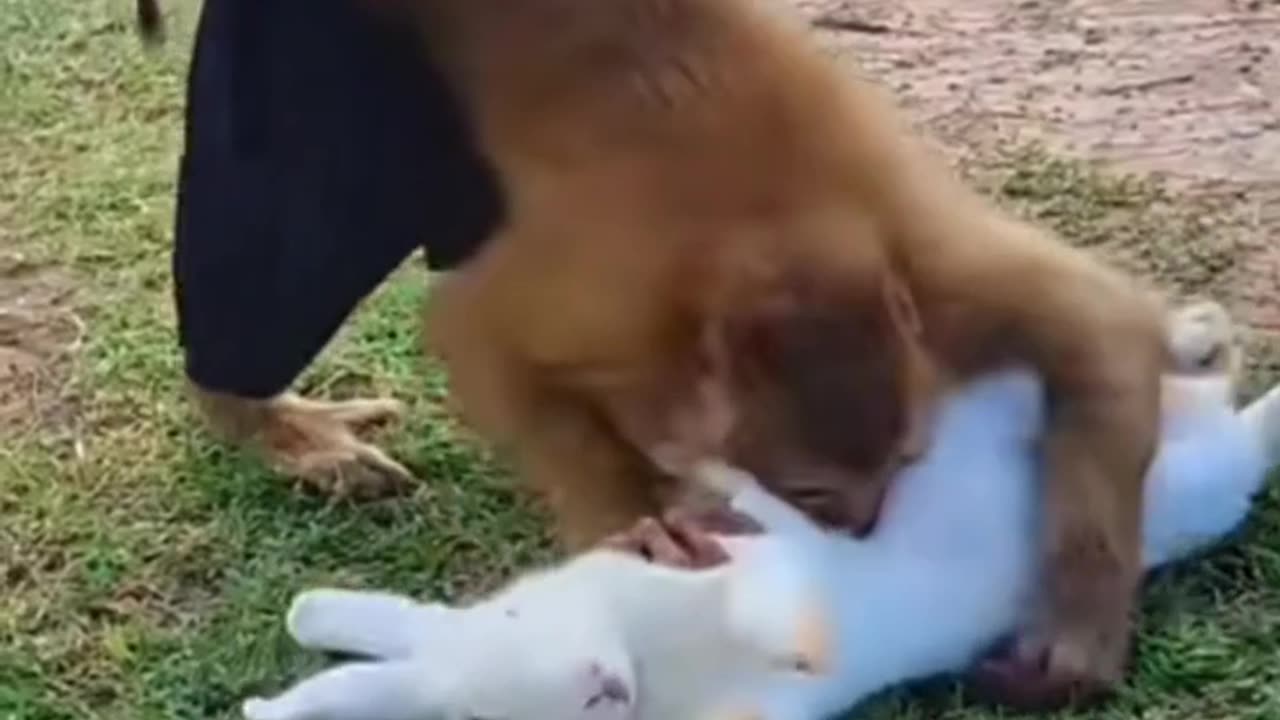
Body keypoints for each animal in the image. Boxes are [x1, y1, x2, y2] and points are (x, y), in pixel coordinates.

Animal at [409, 0, 1172, 707]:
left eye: (903, 463)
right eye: (812, 493)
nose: (864, 529)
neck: (754, 233)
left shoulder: (927, 282)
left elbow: (1103, 326)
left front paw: (1073, 632)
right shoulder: (591, 307)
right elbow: (480, 343)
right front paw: (632, 528)